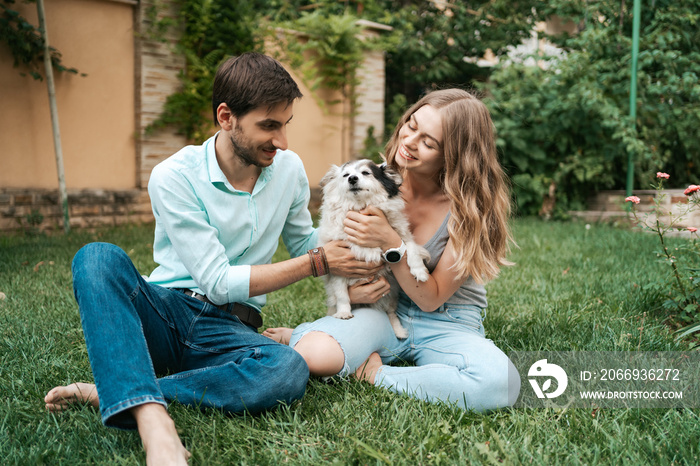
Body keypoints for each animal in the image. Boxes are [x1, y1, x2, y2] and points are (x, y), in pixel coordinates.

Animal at [318, 160, 430, 338]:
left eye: (365, 173)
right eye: (345, 175)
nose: (352, 178)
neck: (359, 208)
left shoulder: (402, 236)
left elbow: (411, 247)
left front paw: (419, 271)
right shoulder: (338, 266)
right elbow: (342, 294)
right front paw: (343, 313)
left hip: (391, 296)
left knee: (391, 313)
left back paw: (399, 331)